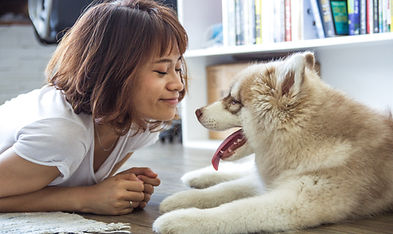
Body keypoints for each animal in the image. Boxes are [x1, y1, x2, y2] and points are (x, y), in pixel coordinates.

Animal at [152, 51, 392, 234]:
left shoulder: (294, 201)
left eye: (234, 101)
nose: (196, 112)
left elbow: (234, 209)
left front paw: (179, 220)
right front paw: (182, 199)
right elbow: (223, 190)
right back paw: (197, 176)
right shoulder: (270, 182)